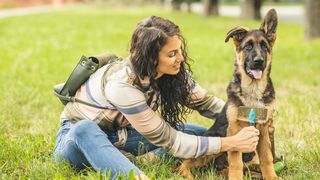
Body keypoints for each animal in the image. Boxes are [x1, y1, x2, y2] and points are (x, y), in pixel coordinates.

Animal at [176, 8, 278, 180]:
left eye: (265, 47)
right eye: (248, 47)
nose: (258, 61)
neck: (253, 89)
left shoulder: (264, 130)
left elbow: (266, 158)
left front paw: (271, 176)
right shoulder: (235, 132)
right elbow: (236, 161)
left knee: (230, 167)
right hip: (214, 140)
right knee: (186, 163)